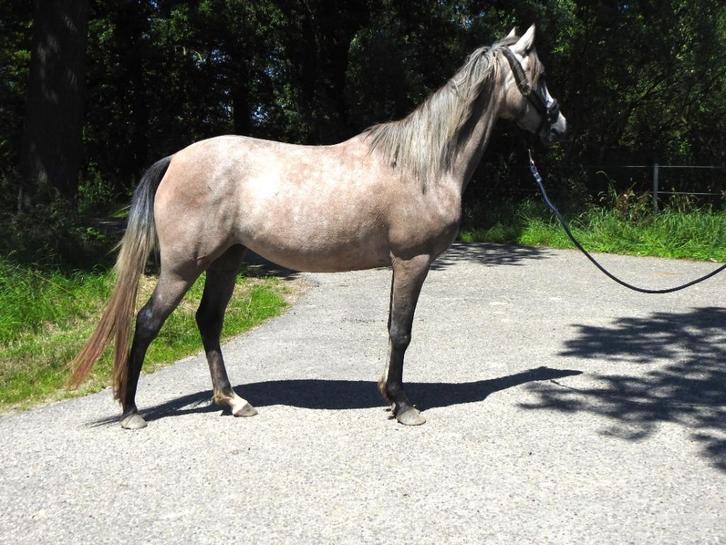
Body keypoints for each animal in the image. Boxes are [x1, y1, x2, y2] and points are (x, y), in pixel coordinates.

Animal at [71, 25, 567, 429]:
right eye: (540, 75)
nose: (560, 124)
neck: (424, 163)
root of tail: (176, 158)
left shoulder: (401, 264)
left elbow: (393, 328)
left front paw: (389, 396)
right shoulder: (413, 261)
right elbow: (401, 332)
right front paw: (404, 405)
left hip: (226, 260)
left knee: (209, 321)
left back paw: (233, 401)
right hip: (181, 267)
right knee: (148, 321)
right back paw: (132, 412)